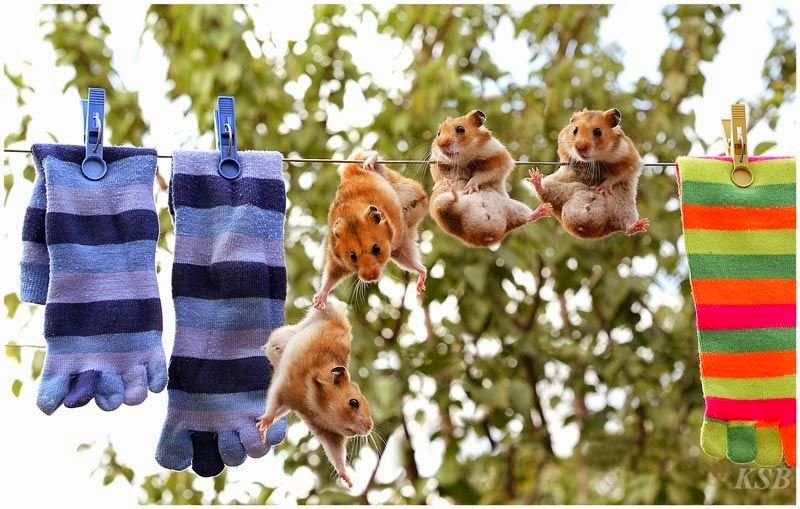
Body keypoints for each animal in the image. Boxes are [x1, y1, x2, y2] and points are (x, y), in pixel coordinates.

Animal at [257, 300, 373, 488]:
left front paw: (348, 482)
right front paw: (263, 427)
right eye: (354, 402)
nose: (370, 428)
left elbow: (337, 457)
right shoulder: (283, 386)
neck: (318, 407)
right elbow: (272, 405)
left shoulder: (329, 434)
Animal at [312, 150, 428, 310]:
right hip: (400, 248)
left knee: (370, 154)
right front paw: (317, 303)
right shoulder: (336, 261)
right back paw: (420, 284)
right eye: (352, 256)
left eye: (376, 248)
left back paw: (369, 163)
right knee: (417, 265)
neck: (351, 217)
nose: (370, 277)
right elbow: (330, 277)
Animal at [429, 110, 552, 247]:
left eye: (460, 129)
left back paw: (542, 198)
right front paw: (464, 186)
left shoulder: (500, 159)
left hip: (514, 208)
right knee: (450, 203)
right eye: (439, 133)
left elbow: (481, 175)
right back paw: (453, 189)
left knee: (528, 217)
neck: (466, 158)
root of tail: (487, 237)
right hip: (439, 207)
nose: (441, 144)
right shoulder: (436, 166)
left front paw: (470, 187)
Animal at [527, 108, 649, 239]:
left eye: (598, 131)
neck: (597, 157)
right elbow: (566, 157)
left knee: (626, 227)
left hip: (624, 208)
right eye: (575, 130)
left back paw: (641, 224)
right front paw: (575, 162)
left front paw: (602, 189)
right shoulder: (562, 142)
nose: (580, 148)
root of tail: (583, 229)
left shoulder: (630, 158)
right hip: (555, 188)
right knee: (544, 192)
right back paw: (535, 178)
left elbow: (616, 175)